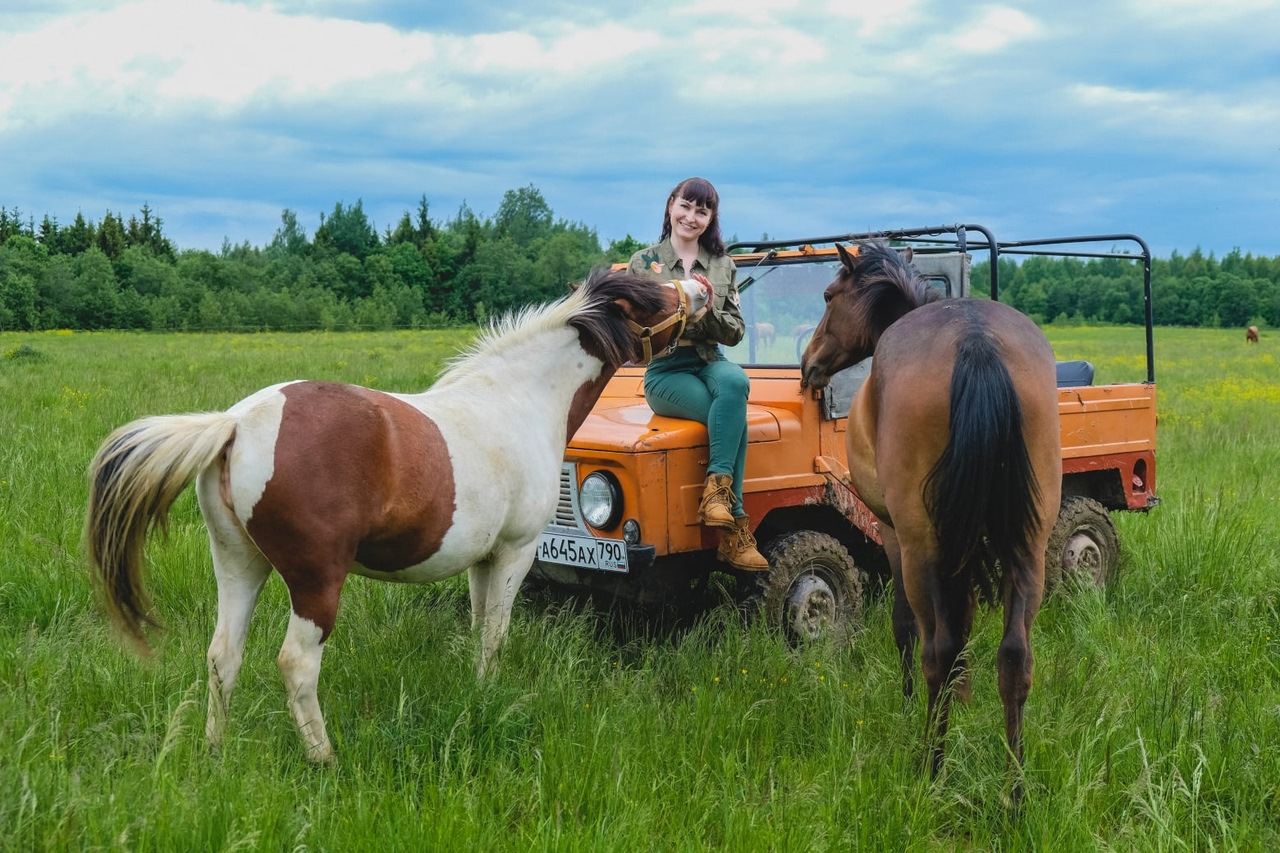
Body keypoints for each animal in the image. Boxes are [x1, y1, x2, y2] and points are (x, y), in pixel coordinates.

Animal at [87, 268, 711, 758]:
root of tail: (236, 423)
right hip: (316, 582)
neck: (517, 399)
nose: (703, 289)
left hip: (239, 565)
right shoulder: (515, 552)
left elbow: (480, 628)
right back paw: (324, 759)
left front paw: (478, 695)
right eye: (653, 295)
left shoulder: (483, 560)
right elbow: (496, 634)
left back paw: (217, 752)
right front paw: (492, 695)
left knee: (222, 658)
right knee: (296, 664)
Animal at [798, 240, 1059, 804]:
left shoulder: (894, 533)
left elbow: (906, 628)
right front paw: (963, 699)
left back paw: (931, 767)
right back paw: (1014, 791)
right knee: (1015, 658)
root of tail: (976, 343)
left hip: (920, 548)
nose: (808, 364)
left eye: (828, 296)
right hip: (1027, 545)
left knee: (935, 648)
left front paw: (906, 702)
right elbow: (965, 625)